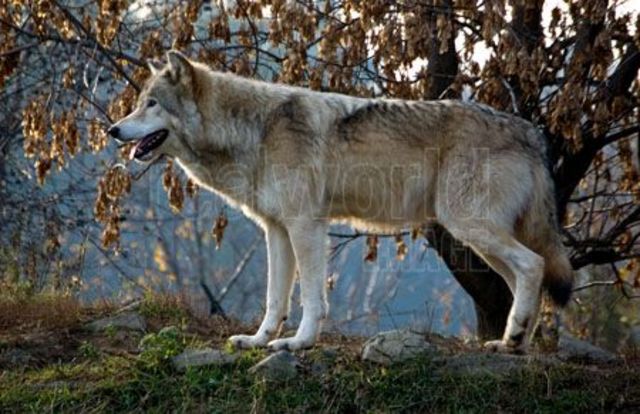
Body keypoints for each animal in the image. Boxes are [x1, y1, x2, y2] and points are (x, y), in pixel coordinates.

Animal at [108, 50, 573, 353]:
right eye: (138, 104)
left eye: (151, 104)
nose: (113, 130)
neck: (254, 129)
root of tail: (532, 133)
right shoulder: (277, 231)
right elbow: (275, 299)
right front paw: (258, 340)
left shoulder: (306, 226)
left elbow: (312, 297)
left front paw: (298, 342)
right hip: (480, 240)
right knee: (526, 277)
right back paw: (514, 344)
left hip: (469, 227)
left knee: (533, 266)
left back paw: (514, 340)